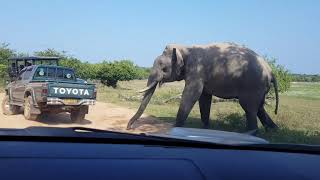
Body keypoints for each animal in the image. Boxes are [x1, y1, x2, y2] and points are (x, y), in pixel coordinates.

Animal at [126, 42, 278, 132]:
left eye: (164, 69)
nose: (129, 127)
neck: (185, 48)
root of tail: (271, 71)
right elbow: (204, 98)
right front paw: (205, 129)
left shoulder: (197, 70)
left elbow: (192, 94)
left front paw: (176, 128)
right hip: (259, 86)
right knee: (259, 107)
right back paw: (273, 130)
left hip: (253, 84)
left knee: (249, 108)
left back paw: (251, 133)